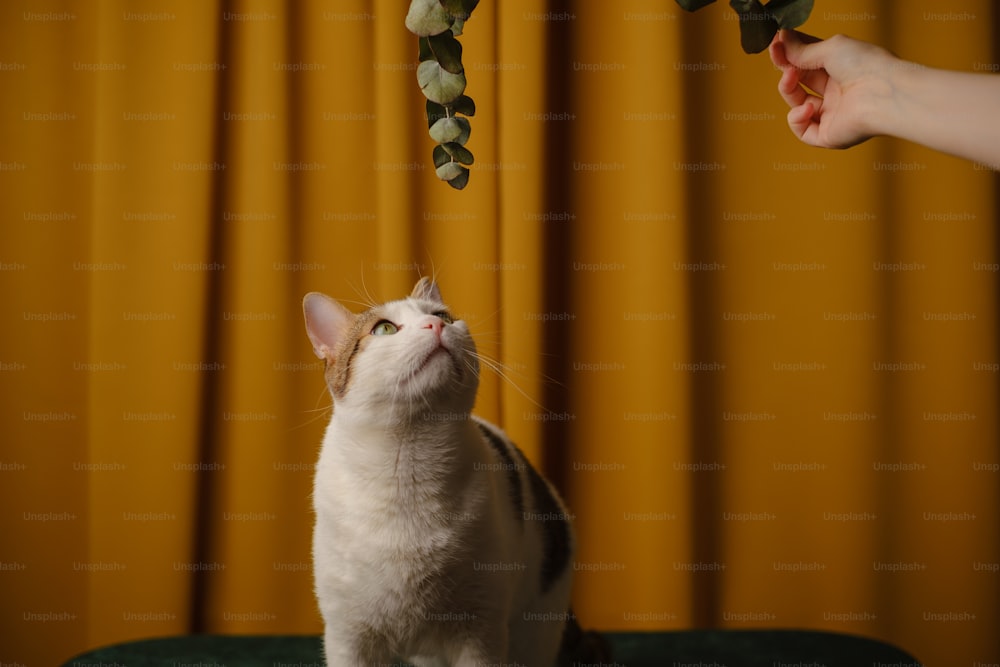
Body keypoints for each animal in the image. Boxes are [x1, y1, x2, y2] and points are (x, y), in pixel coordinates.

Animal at [298, 278, 608, 667]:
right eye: (384, 328)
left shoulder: (480, 630)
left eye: (442, 316)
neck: (406, 467)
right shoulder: (348, 635)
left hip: (534, 630)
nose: (436, 325)